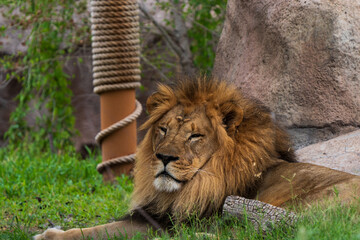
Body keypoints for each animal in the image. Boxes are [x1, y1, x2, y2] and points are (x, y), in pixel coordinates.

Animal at [34, 78, 360, 239]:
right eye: (164, 129)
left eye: (195, 136)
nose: (164, 157)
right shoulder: (155, 218)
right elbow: (97, 229)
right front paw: (50, 233)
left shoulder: (178, 222)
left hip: (313, 201)